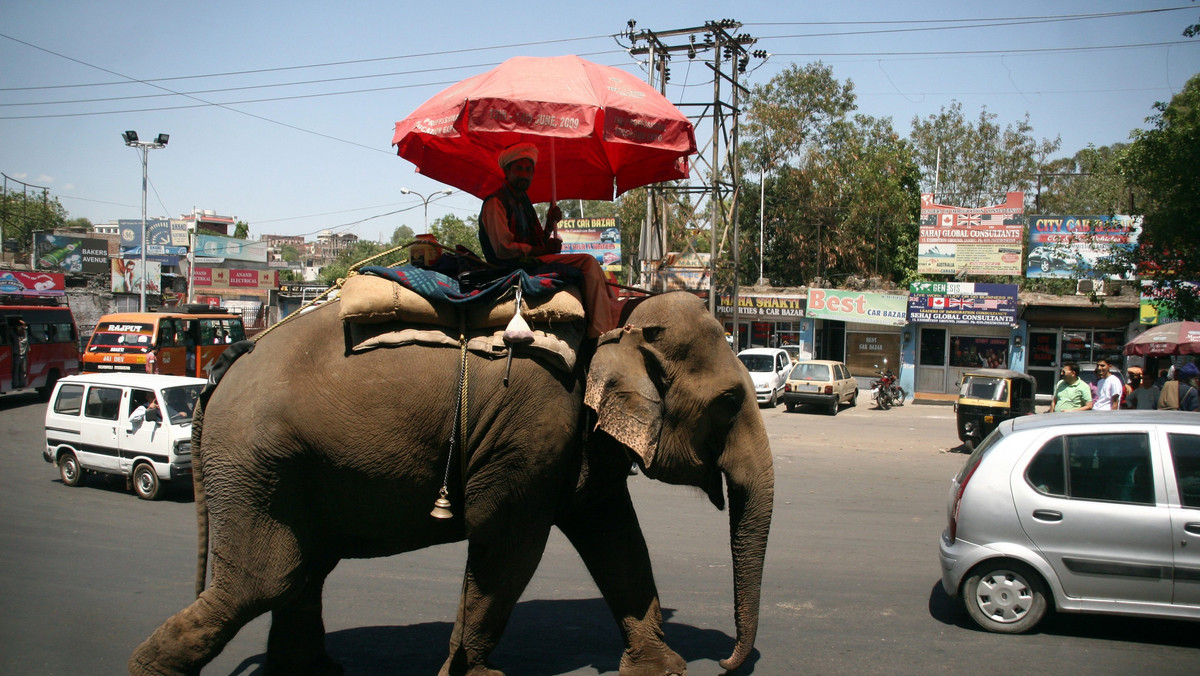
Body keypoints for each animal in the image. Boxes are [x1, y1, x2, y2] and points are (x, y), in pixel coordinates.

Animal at [129, 288, 768, 672]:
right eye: (729, 401)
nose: (728, 664)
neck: (621, 322)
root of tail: (224, 366)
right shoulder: (530, 431)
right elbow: (508, 543)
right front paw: (474, 673)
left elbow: (615, 538)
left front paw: (663, 671)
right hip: (256, 463)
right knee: (263, 582)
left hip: (281, 470)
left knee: (296, 578)